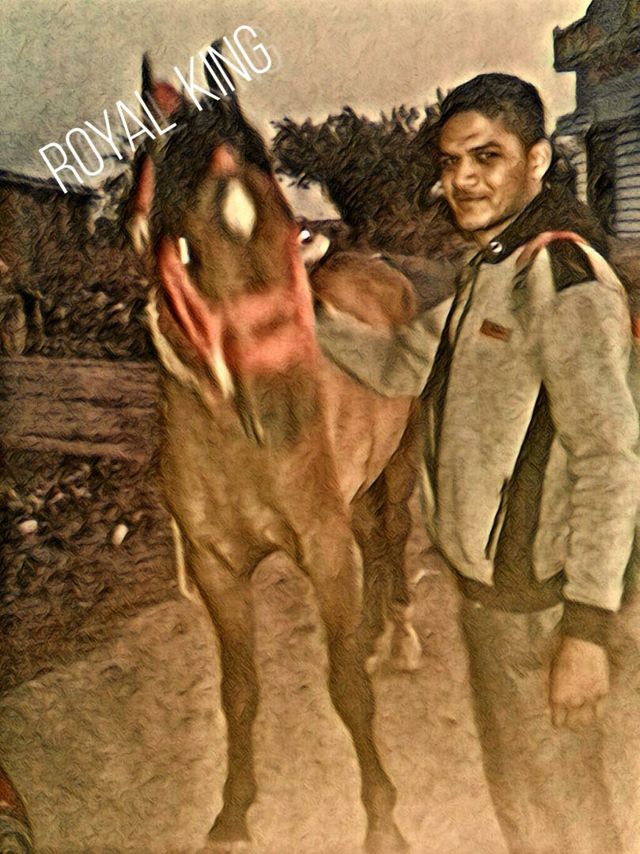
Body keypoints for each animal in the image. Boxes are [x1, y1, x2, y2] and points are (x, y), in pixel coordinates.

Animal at [125, 53, 425, 853]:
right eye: (184, 249)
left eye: (291, 226)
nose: (285, 412)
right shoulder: (217, 569)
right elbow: (239, 694)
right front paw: (232, 815)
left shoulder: (321, 548)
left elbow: (346, 685)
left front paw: (383, 817)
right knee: (374, 542)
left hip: (398, 468)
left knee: (392, 537)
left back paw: (400, 635)